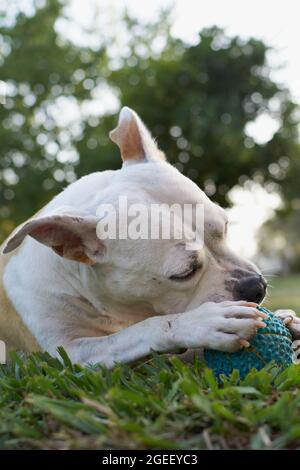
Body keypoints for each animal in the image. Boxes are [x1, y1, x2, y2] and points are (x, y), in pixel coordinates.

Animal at [0, 107, 300, 368]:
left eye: (224, 228)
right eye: (184, 272)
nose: (255, 287)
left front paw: (288, 319)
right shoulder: (70, 355)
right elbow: (140, 331)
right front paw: (205, 323)